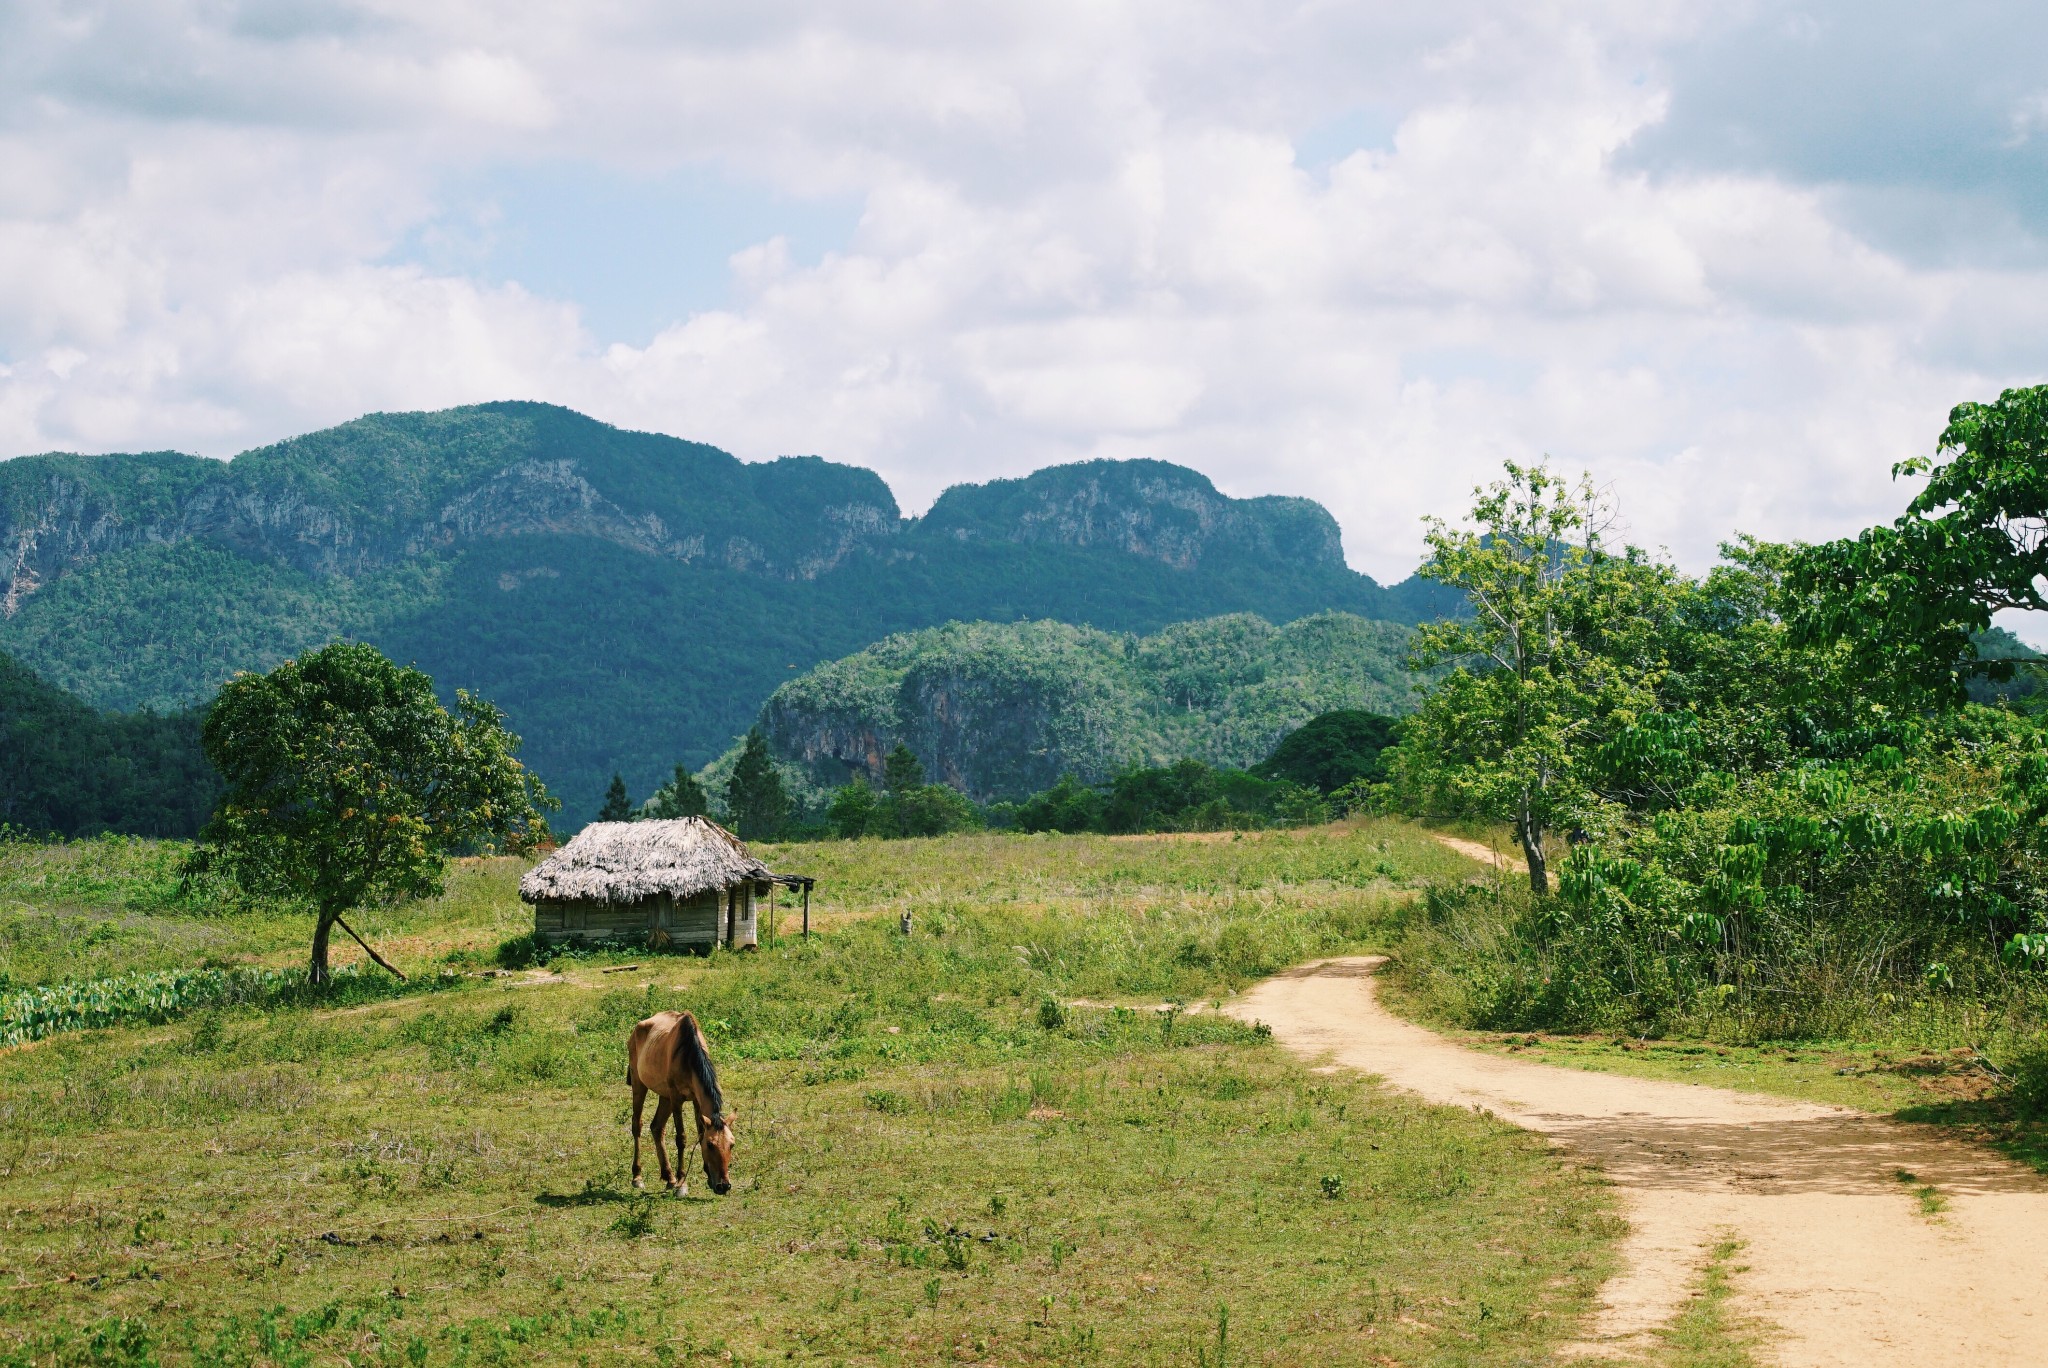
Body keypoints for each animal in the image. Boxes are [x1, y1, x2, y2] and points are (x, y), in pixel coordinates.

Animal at [622, 1003, 737, 1195]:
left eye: (732, 1144)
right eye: (711, 1145)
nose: (723, 1186)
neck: (688, 1055)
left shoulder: (696, 1100)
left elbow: (699, 1132)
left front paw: (706, 1176)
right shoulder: (677, 1098)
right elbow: (681, 1138)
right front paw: (682, 1183)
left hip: (664, 1096)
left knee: (657, 1127)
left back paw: (669, 1177)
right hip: (639, 1085)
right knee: (637, 1125)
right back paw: (637, 1176)